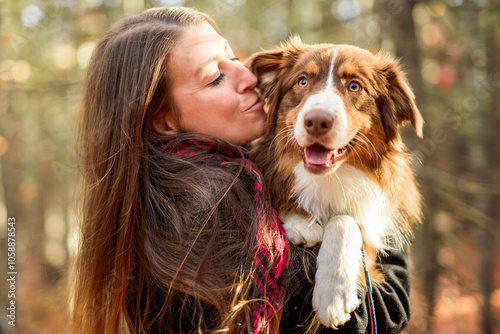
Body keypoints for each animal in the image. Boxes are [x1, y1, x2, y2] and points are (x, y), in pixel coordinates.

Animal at [245, 37, 422, 328]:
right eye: (302, 81)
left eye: (354, 86)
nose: (317, 120)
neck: (329, 179)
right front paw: (301, 222)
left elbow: (345, 221)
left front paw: (333, 295)